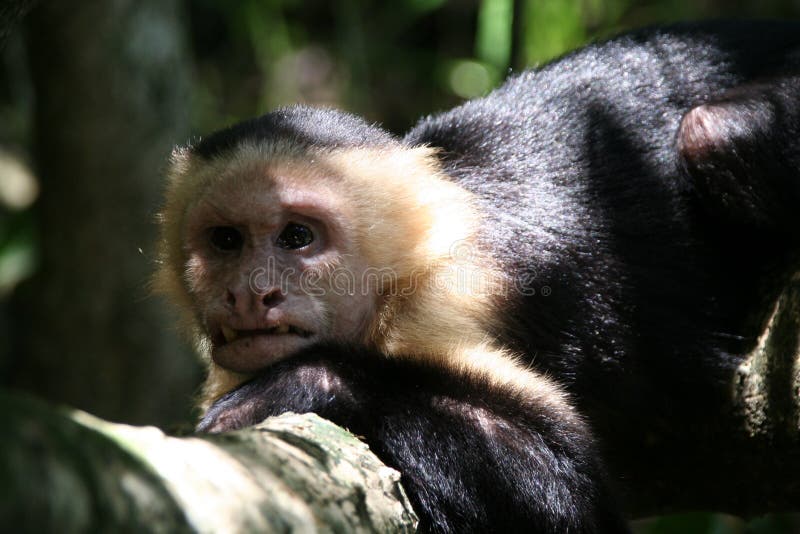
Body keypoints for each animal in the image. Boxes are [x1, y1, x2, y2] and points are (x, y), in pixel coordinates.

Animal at [156, 19, 800, 534]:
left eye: (297, 237)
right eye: (226, 241)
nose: (250, 292)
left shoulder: (448, 300)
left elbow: (571, 499)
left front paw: (296, 385)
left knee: (713, 133)